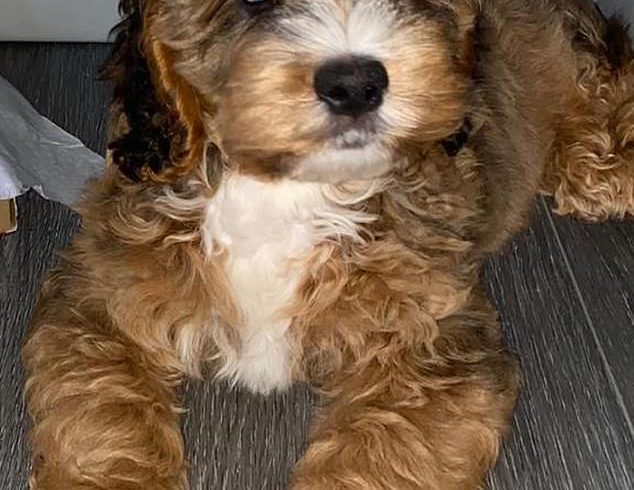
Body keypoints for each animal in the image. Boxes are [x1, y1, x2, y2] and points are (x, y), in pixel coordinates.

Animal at [22, 0, 628, 490]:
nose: (357, 83)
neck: (286, 189)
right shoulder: (98, 297)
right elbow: (105, 416)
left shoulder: (434, 339)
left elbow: (382, 451)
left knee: (607, 77)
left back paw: (600, 168)